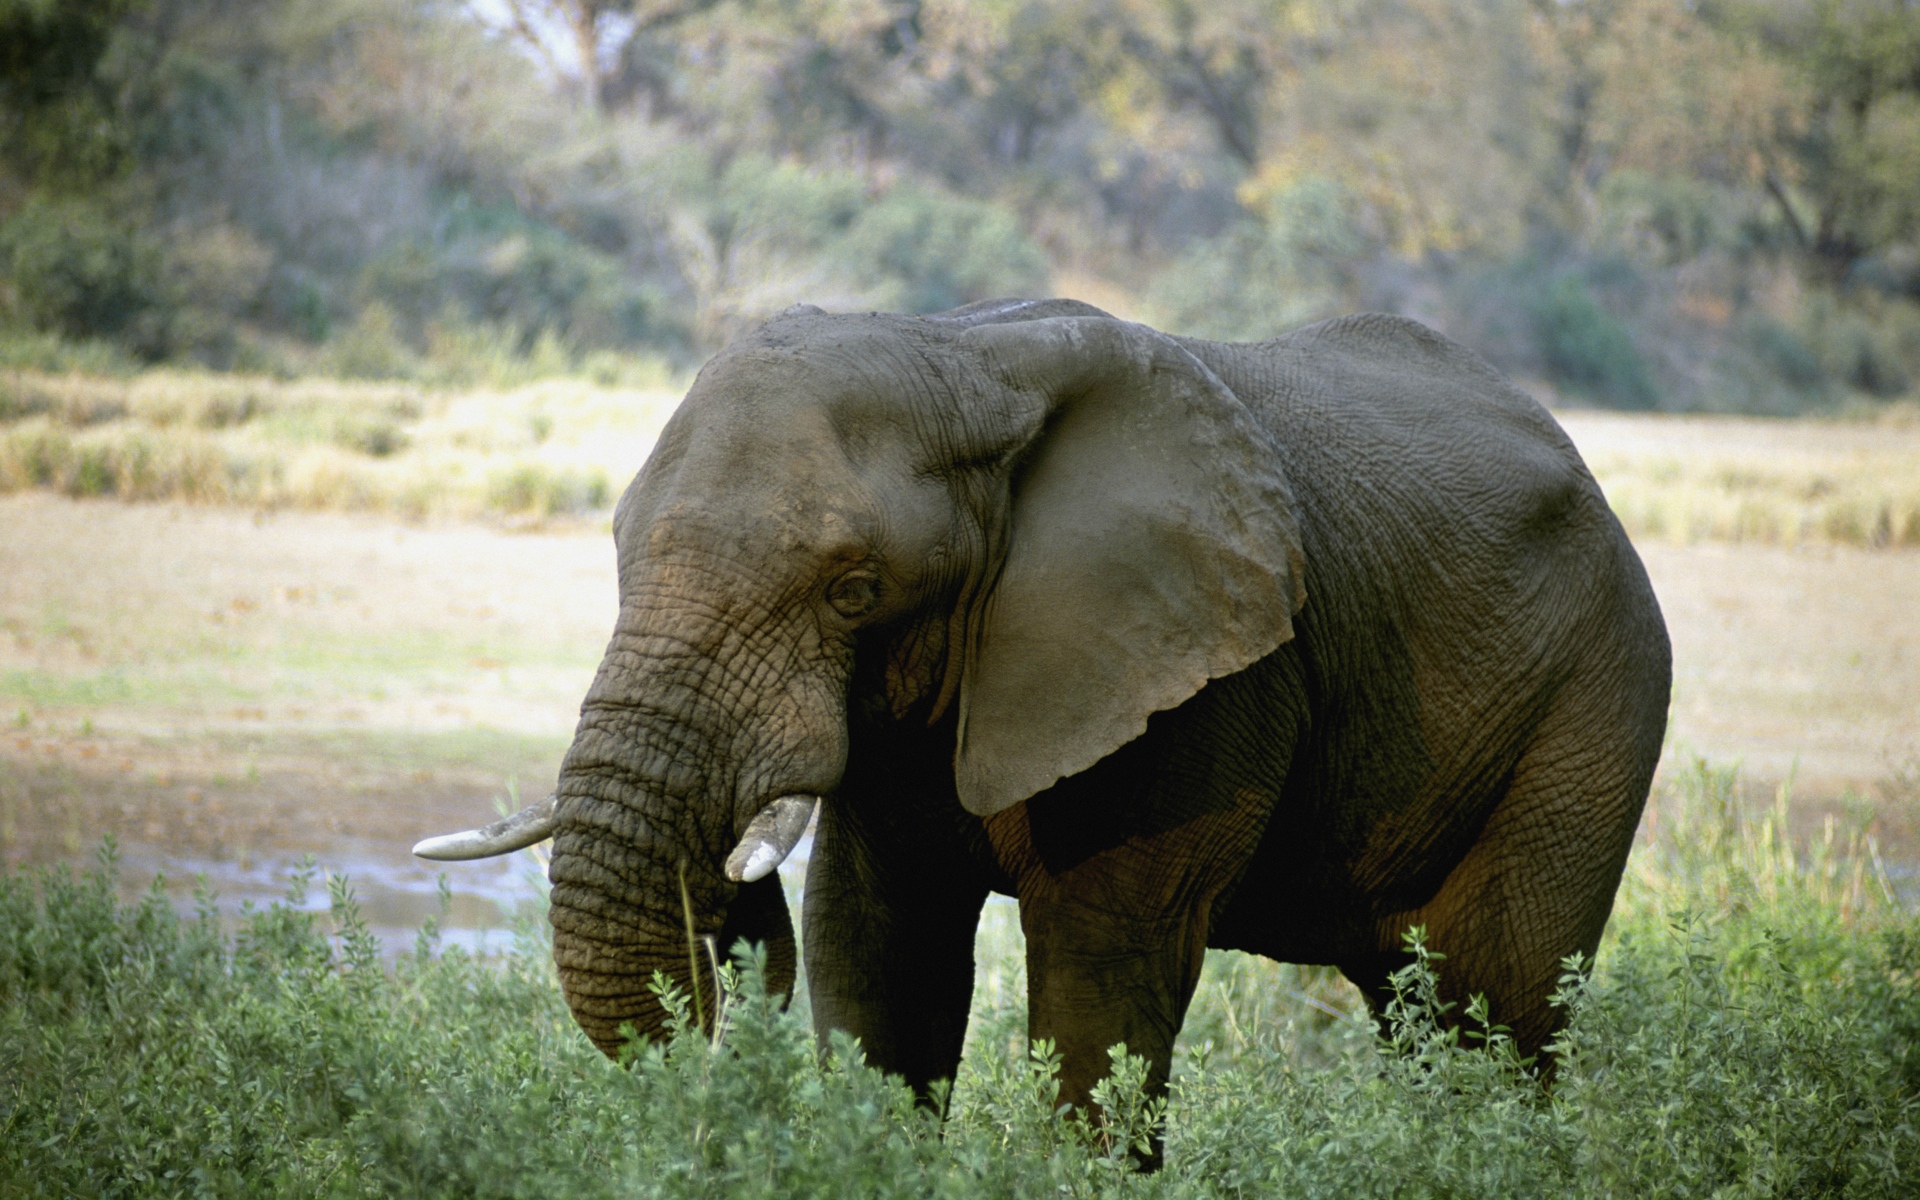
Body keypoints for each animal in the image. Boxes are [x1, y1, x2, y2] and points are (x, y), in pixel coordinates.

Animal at [415, 297, 1670, 1127]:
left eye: (852, 590)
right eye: (618, 547)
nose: (731, 910)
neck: (964, 354)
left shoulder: (1199, 678)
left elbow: (1099, 981)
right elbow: (878, 953)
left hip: (1598, 696)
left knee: (1496, 1007)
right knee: (1422, 1018)